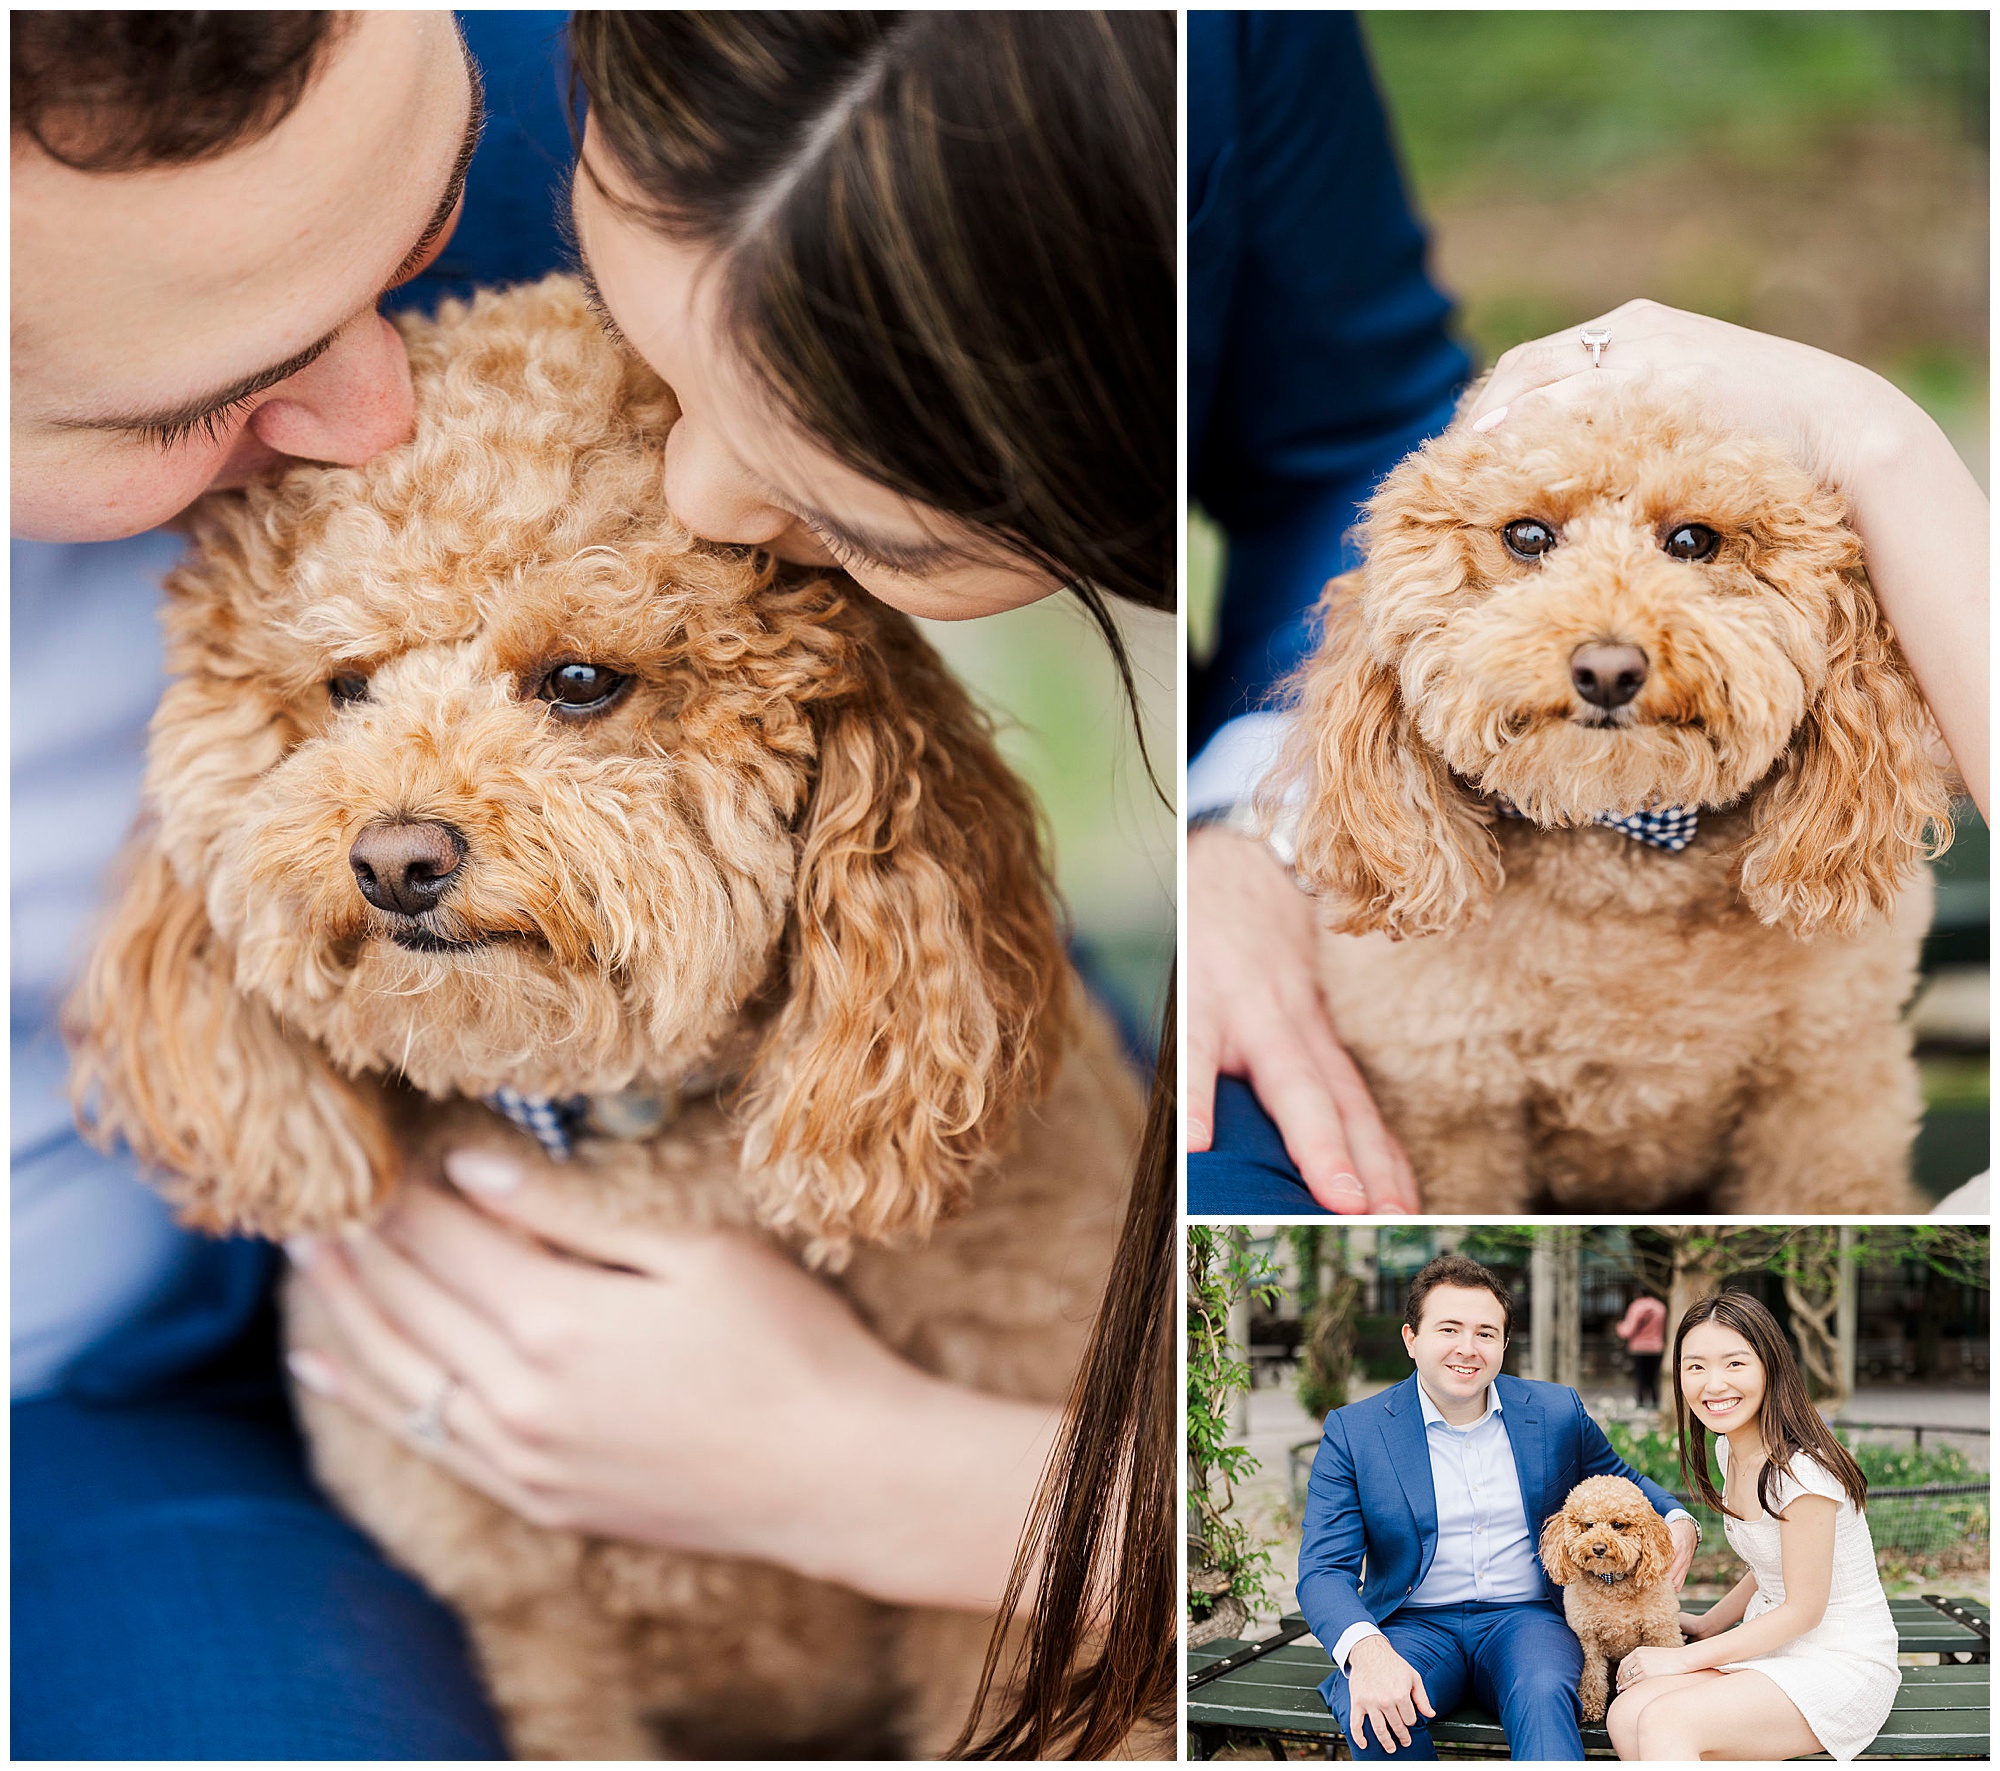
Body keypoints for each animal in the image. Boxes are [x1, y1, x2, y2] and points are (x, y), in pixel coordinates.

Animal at [66, 277, 1144, 1759]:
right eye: (344, 687)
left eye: (580, 682)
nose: (395, 857)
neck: (632, 1144)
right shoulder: (539, 1628)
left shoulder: (994, 1599)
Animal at [1280, 391, 1952, 1223]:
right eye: (1527, 536)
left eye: (1693, 540)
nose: (1607, 669)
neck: (1625, 844)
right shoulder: (1448, 1104)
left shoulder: (1824, 1088)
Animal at [1536, 1479, 1680, 1727]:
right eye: (1588, 1524)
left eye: (1618, 1524)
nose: (1599, 1548)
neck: (1613, 1584)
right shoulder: (1587, 1640)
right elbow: (1592, 1676)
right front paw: (1590, 1707)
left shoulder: (1661, 1631)